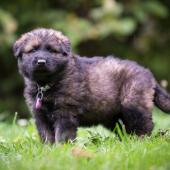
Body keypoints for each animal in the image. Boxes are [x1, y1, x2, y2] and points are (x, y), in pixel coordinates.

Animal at [13, 27, 170, 143]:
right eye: (32, 50)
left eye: (52, 50)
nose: (41, 62)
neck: (46, 84)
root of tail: (148, 73)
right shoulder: (40, 115)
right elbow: (46, 135)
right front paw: (49, 150)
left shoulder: (65, 112)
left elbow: (62, 134)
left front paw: (61, 149)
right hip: (112, 115)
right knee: (124, 128)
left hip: (133, 102)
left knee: (144, 124)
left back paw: (139, 141)